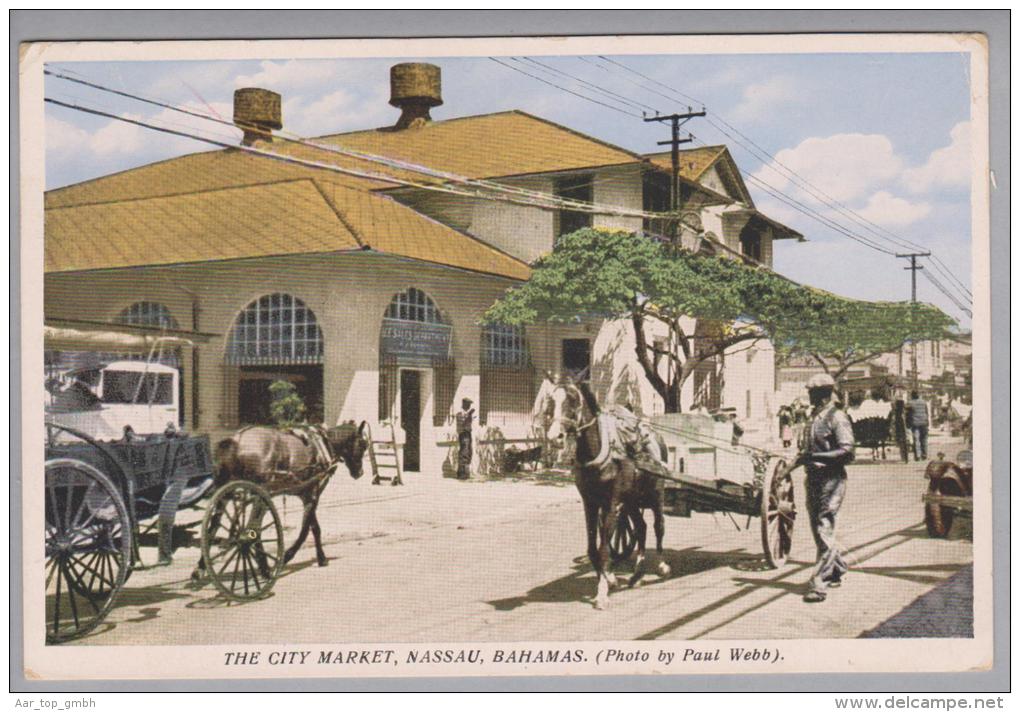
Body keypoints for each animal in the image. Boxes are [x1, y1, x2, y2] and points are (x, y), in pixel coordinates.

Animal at [192, 422, 369, 575]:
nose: (360, 473)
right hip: (260, 493)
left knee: (214, 525)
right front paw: (289, 555)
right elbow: (306, 530)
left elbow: (314, 528)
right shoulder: (313, 494)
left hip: (227, 492)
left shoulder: (305, 494)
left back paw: (201, 566)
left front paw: (321, 557)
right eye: (362, 445)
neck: (324, 444)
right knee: (253, 528)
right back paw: (263, 565)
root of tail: (237, 440)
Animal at [538, 375, 673, 607]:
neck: (600, 452)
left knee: (659, 525)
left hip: (656, 492)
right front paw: (609, 579)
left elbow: (603, 549)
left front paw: (602, 592)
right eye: (551, 402)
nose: (555, 437)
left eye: (573, 400)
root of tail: (657, 436)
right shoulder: (590, 503)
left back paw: (662, 565)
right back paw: (637, 574)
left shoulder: (611, 504)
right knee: (641, 528)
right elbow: (593, 549)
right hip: (631, 500)